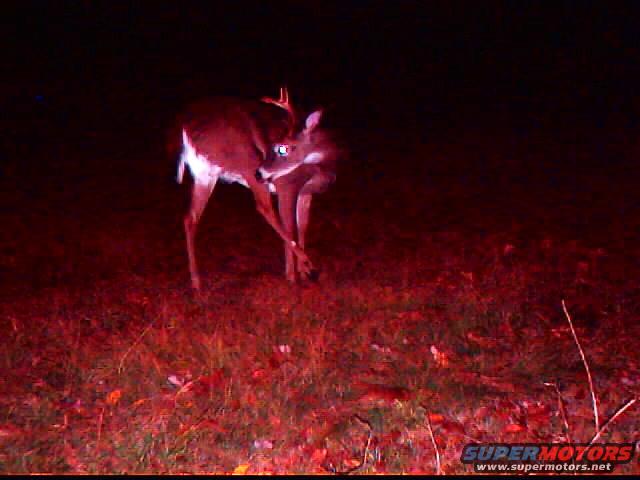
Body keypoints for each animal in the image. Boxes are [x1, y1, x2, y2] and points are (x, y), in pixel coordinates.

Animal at [176, 88, 338, 289]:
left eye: (283, 147)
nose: (263, 170)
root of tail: (186, 135)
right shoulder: (287, 185)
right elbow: (290, 225)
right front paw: (294, 274)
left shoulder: (306, 192)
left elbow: (302, 226)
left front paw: (301, 272)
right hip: (247, 164)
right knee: (264, 208)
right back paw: (310, 266)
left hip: (204, 174)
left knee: (190, 217)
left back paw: (196, 282)